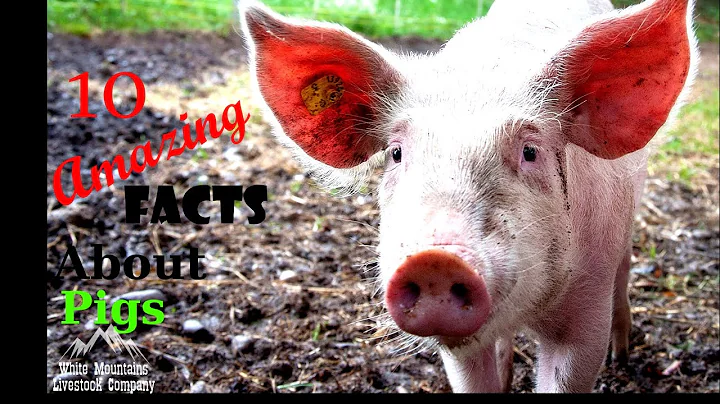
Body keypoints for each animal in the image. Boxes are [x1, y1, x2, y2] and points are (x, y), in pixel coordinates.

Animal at [240, 0, 697, 393]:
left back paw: (623, 356)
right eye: (396, 153)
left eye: (530, 151)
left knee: (624, 272)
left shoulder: (586, 312)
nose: (435, 260)